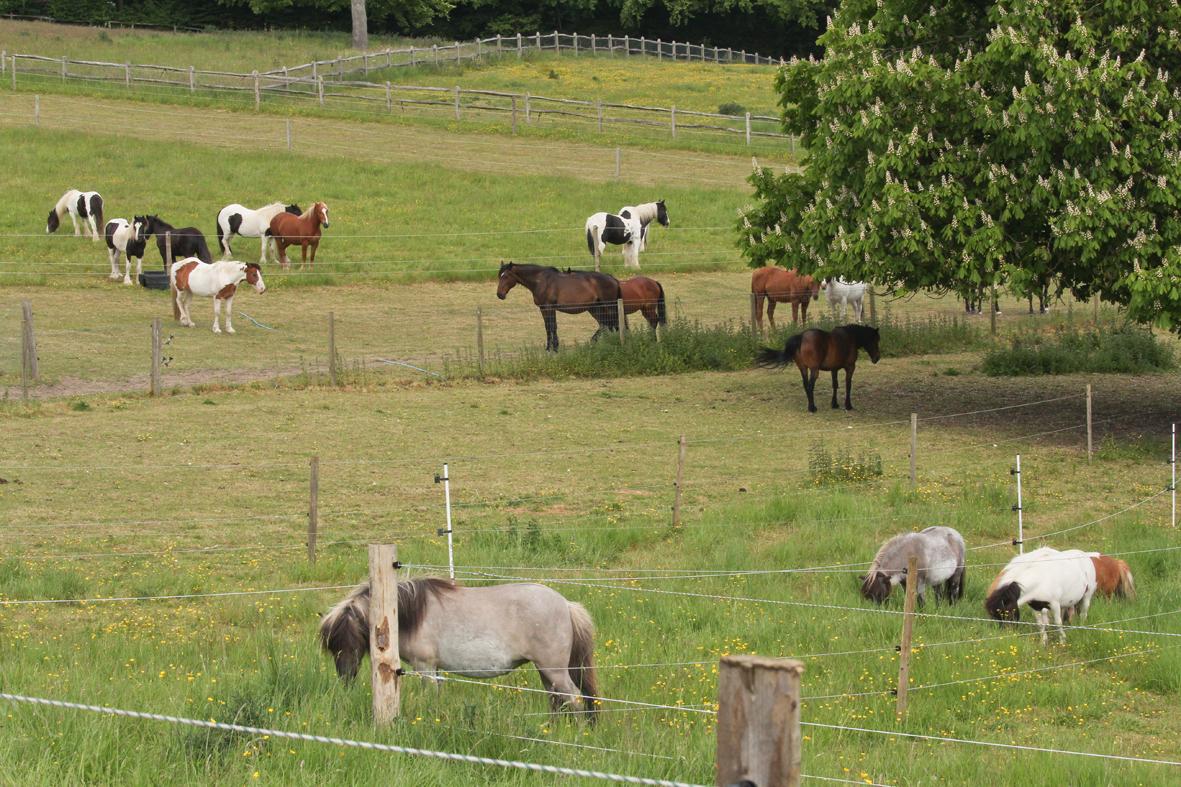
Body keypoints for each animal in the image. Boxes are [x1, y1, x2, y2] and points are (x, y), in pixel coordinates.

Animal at [320, 577, 598, 722]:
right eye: (333, 647)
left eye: (346, 641)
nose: (345, 678)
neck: (408, 613)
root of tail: (566, 605)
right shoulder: (435, 669)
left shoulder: (425, 667)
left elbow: (429, 696)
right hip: (546, 671)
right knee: (556, 699)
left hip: (554, 670)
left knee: (573, 697)